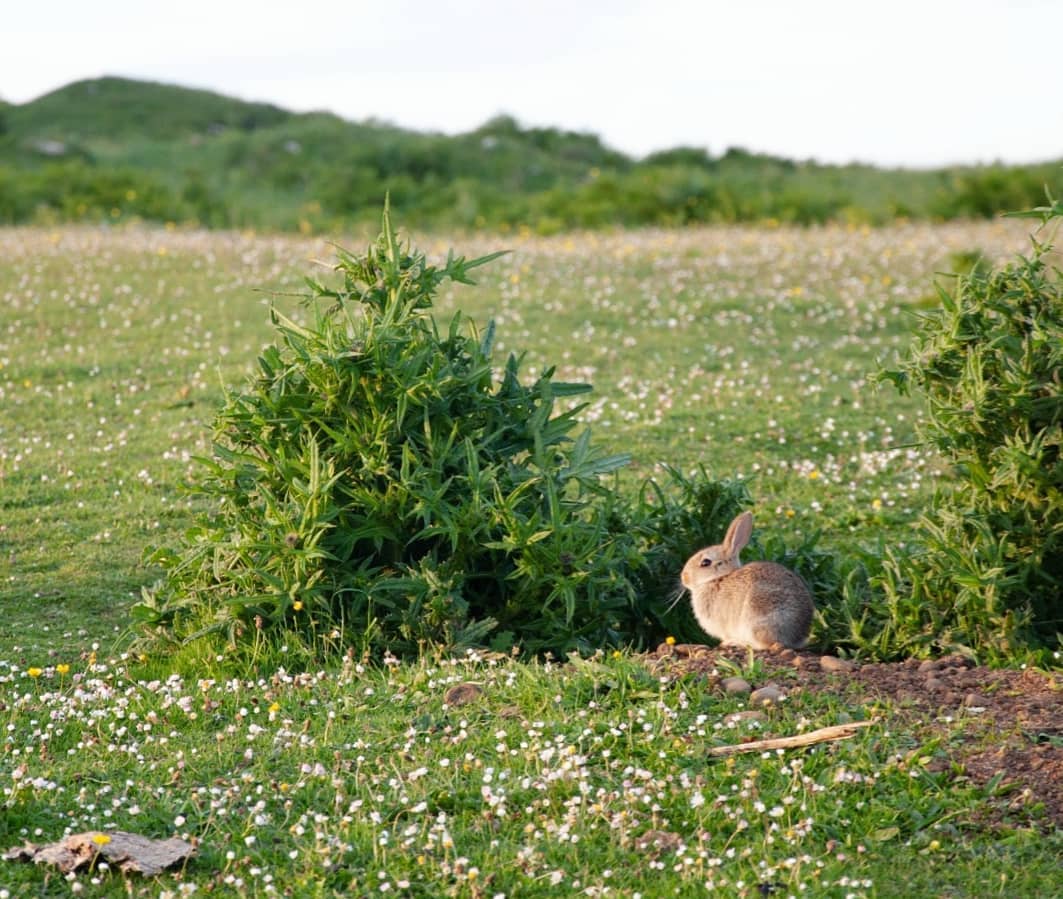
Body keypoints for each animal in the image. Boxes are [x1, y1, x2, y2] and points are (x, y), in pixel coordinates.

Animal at [680, 510, 812, 650]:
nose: (684, 577)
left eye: (705, 562)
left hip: (758, 616)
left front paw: (725, 642)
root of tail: (797, 637)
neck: (719, 578)